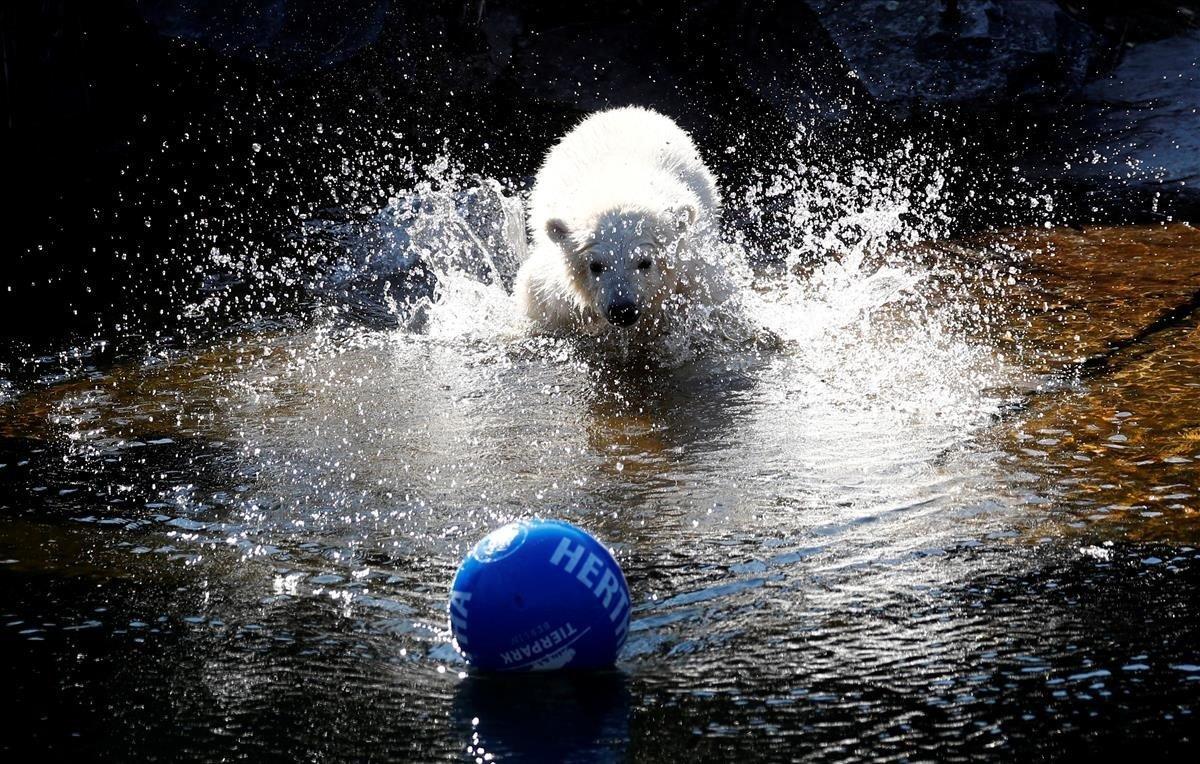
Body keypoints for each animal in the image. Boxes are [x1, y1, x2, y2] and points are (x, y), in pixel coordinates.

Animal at [513, 106, 724, 333]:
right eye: (595, 265)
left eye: (645, 262)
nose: (622, 310)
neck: (620, 187)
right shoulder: (554, 296)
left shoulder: (692, 279)